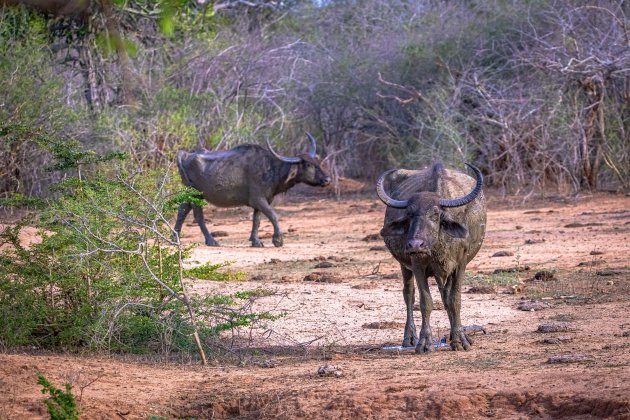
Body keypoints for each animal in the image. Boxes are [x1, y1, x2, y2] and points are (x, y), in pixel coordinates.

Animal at [173, 133, 330, 248]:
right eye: (308, 165)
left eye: (317, 161)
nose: (327, 179)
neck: (271, 167)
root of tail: (185, 155)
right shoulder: (258, 199)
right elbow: (273, 215)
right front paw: (277, 240)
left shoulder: (262, 201)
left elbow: (257, 220)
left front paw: (256, 241)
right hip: (196, 195)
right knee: (198, 216)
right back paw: (211, 240)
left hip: (190, 196)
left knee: (182, 211)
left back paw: (175, 237)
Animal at [376, 162, 488, 352]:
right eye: (409, 215)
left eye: (435, 215)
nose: (415, 245)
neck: (437, 247)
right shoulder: (417, 264)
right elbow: (425, 302)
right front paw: (424, 342)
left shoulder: (460, 264)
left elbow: (454, 299)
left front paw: (460, 339)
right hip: (405, 266)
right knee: (409, 295)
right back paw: (409, 338)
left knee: (445, 296)